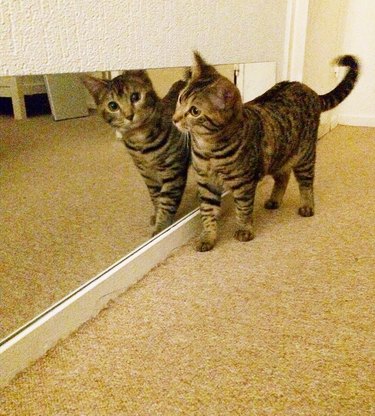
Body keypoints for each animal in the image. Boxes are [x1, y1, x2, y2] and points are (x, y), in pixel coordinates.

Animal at [81, 70, 189, 236]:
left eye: (135, 97)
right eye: (113, 105)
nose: (129, 115)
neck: (141, 142)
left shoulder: (173, 171)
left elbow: (167, 201)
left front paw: (162, 227)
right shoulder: (148, 175)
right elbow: (156, 198)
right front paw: (157, 215)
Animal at [173, 53, 362, 252]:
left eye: (194, 111)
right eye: (180, 99)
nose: (174, 118)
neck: (209, 150)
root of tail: (309, 90)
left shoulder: (244, 183)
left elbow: (243, 209)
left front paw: (245, 229)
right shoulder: (206, 183)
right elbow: (207, 212)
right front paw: (208, 237)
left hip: (305, 156)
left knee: (306, 183)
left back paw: (307, 205)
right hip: (278, 156)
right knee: (283, 177)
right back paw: (274, 200)